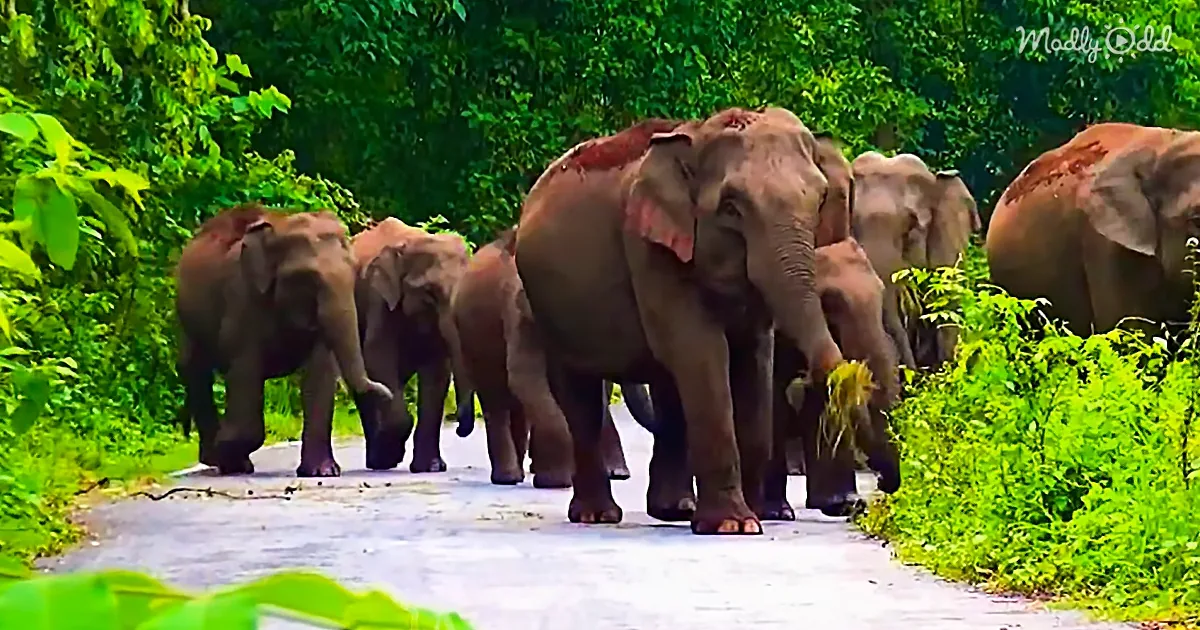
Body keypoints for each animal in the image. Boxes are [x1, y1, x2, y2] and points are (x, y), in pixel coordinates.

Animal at [175, 204, 393, 477]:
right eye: (307, 277)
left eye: (354, 271)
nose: (387, 395)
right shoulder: (241, 298)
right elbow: (245, 370)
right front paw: (227, 453)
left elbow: (320, 373)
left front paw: (322, 472)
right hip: (188, 321)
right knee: (195, 371)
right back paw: (217, 459)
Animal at [339, 217, 473, 473]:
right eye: (429, 292)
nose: (459, 427)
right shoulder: (380, 299)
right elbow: (377, 357)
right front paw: (392, 453)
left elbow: (437, 371)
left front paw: (431, 468)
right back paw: (379, 461)